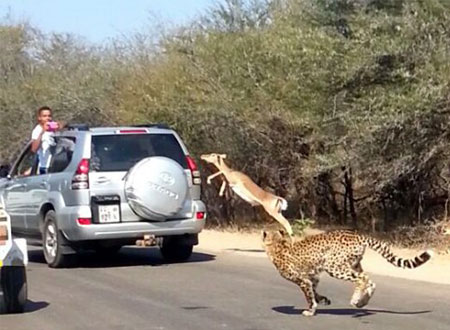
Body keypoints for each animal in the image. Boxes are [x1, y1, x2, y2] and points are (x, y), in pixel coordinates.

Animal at [264, 229, 432, 318]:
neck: (277, 244)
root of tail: (356, 234)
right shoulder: (312, 277)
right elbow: (315, 292)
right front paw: (324, 300)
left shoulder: (303, 280)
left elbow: (309, 296)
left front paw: (311, 310)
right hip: (353, 264)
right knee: (371, 281)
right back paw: (362, 302)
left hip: (334, 267)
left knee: (362, 279)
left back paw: (355, 300)